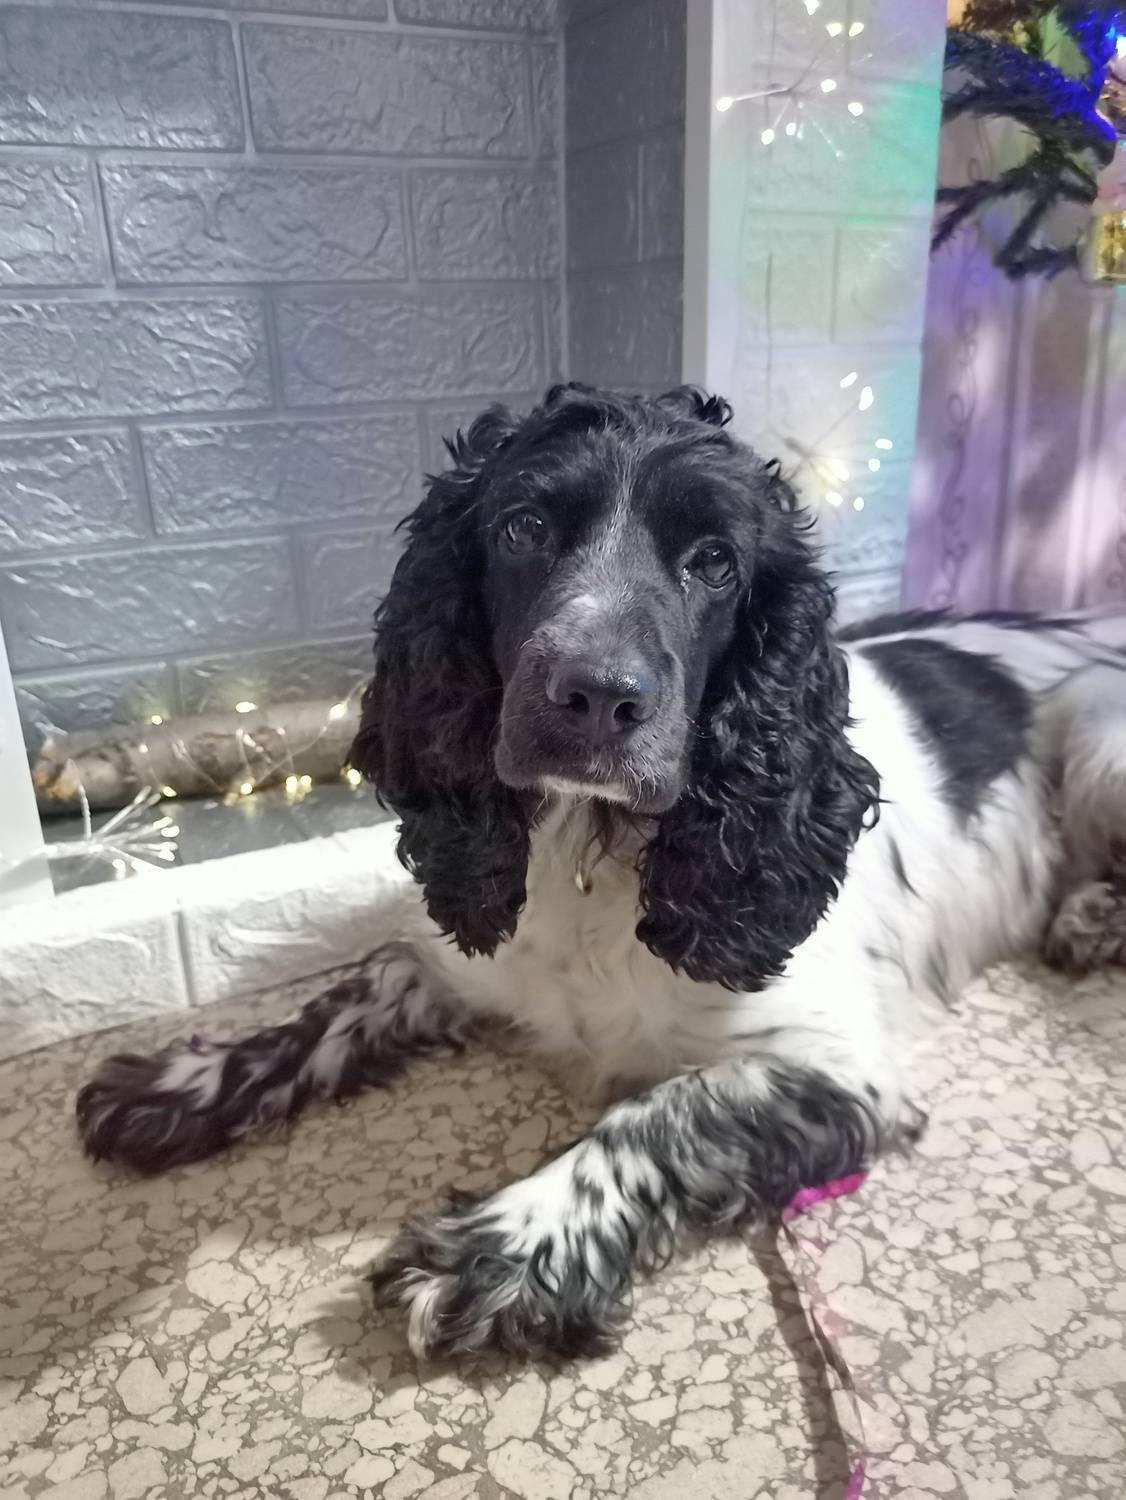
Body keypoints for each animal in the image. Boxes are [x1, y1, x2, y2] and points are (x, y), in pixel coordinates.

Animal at [78, 383, 1126, 1361]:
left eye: (715, 561)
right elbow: (346, 994)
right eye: (523, 527)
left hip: (1099, 735)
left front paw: (508, 1248)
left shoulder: (837, 1066)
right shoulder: (458, 959)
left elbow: (657, 1116)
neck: (592, 845)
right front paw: (182, 1082)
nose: (595, 695)